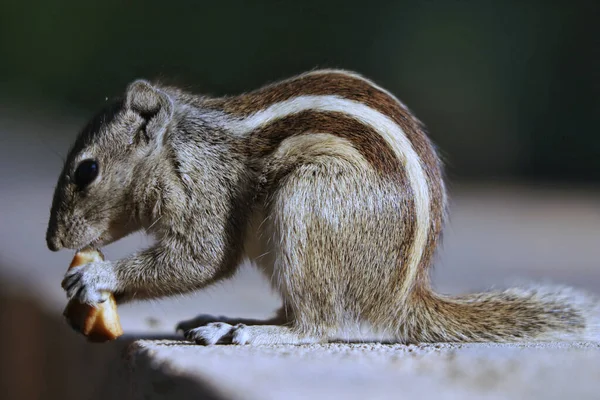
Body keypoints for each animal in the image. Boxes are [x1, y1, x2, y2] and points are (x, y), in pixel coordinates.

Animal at [48, 69, 600, 344]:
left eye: (86, 171)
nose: (53, 242)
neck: (177, 144)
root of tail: (395, 299)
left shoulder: (203, 188)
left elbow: (202, 258)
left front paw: (98, 277)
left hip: (305, 206)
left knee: (317, 327)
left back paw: (249, 334)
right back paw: (232, 321)